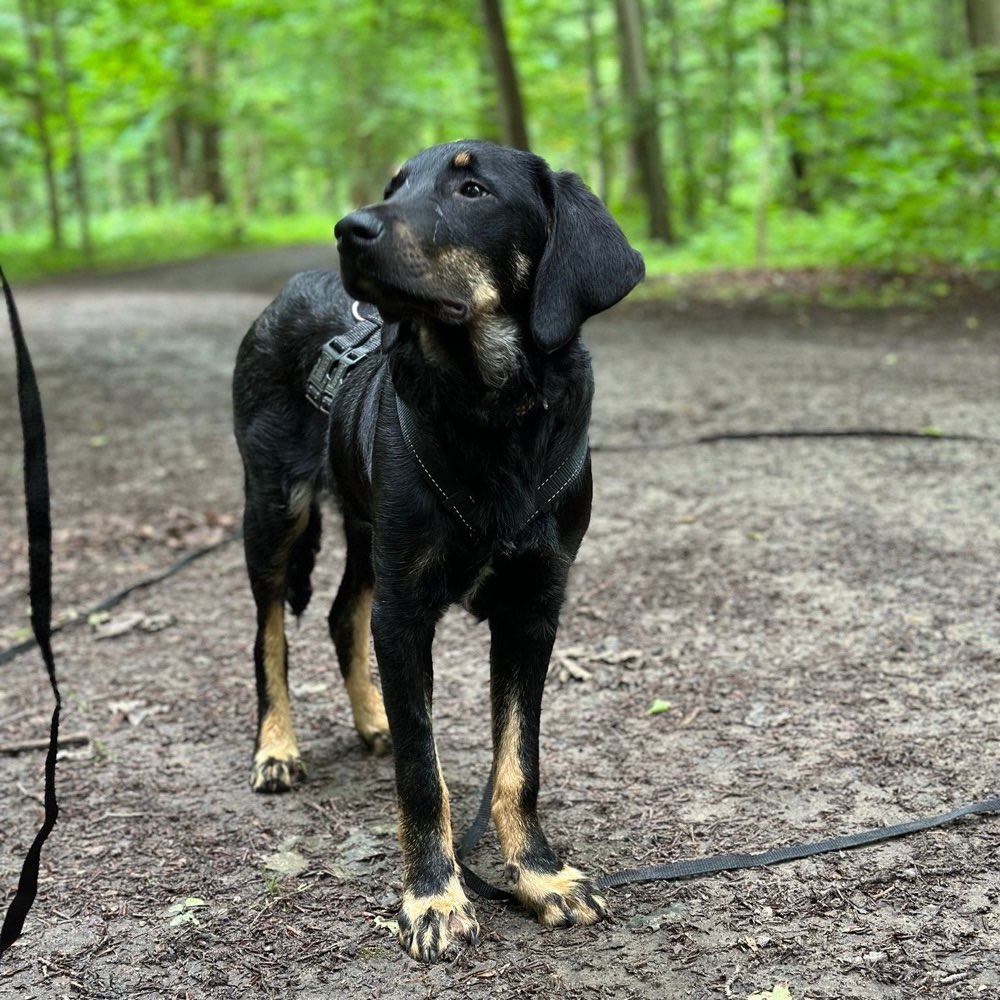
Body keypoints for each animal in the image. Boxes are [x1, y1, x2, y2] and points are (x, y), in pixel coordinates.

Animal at [231, 141, 644, 960]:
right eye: (396, 186)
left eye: (472, 188)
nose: (349, 228)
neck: (491, 415)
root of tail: (289, 291)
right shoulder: (408, 610)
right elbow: (425, 776)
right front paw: (432, 896)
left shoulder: (533, 609)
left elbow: (518, 763)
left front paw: (538, 874)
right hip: (274, 511)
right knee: (270, 638)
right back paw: (277, 747)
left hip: (368, 531)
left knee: (341, 614)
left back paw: (375, 720)